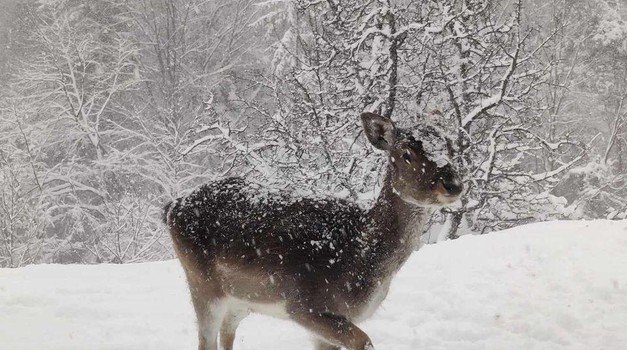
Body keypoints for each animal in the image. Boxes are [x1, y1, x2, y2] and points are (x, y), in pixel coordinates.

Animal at [164, 112, 464, 350]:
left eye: (450, 147)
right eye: (406, 154)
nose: (453, 184)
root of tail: (172, 207)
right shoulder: (304, 305)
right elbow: (363, 341)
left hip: (242, 300)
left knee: (227, 333)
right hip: (202, 285)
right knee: (205, 341)